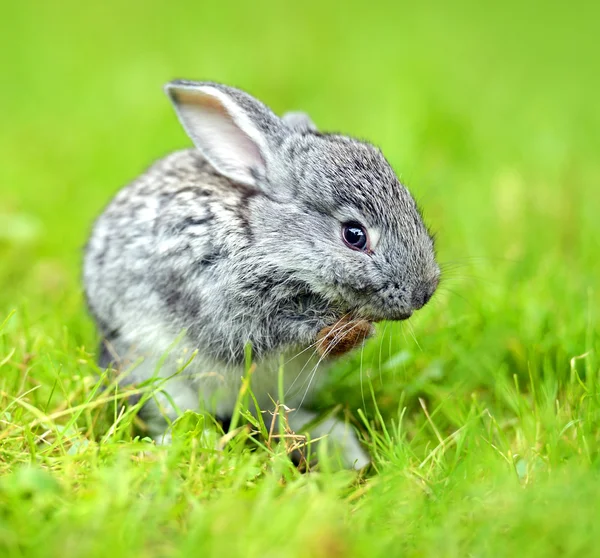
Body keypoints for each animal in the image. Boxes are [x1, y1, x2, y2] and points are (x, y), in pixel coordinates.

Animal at [83, 81, 440, 470]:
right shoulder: (223, 302)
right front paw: (346, 331)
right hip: (154, 374)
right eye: (354, 235)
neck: (264, 237)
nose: (424, 293)